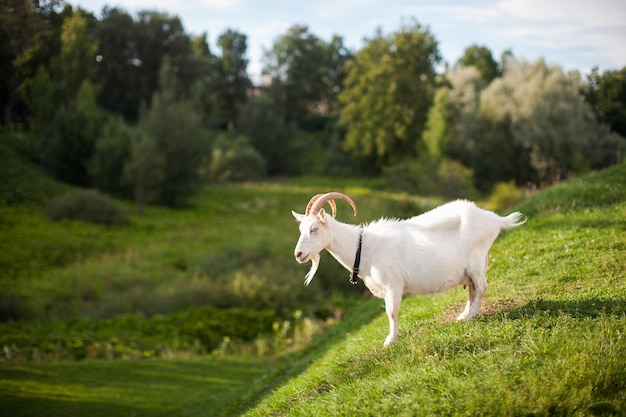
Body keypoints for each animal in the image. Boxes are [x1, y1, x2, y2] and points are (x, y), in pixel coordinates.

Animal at [292, 193, 520, 346]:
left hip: (475, 261)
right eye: (301, 229)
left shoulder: (393, 284)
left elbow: (391, 312)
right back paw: (463, 316)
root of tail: (493, 219)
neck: (363, 248)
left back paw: (470, 317)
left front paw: (390, 340)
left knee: (481, 287)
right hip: (472, 267)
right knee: (473, 290)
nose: (298, 254)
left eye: (314, 228)